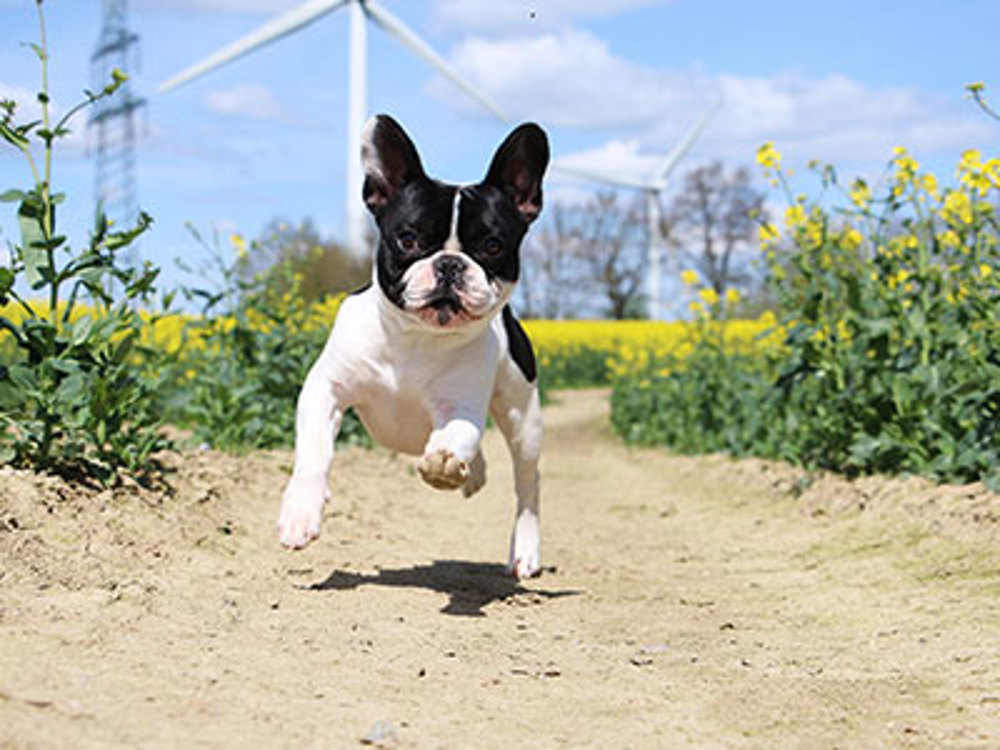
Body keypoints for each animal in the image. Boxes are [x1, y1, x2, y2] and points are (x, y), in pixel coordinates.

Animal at [278, 113, 552, 580]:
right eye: (408, 239)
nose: (450, 264)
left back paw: (524, 549)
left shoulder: (460, 408)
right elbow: (314, 450)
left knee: (528, 486)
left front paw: (444, 462)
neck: (415, 338)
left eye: (493, 245)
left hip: (524, 419)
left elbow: (457, 435)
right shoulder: (326, 390)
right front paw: (301, 510)